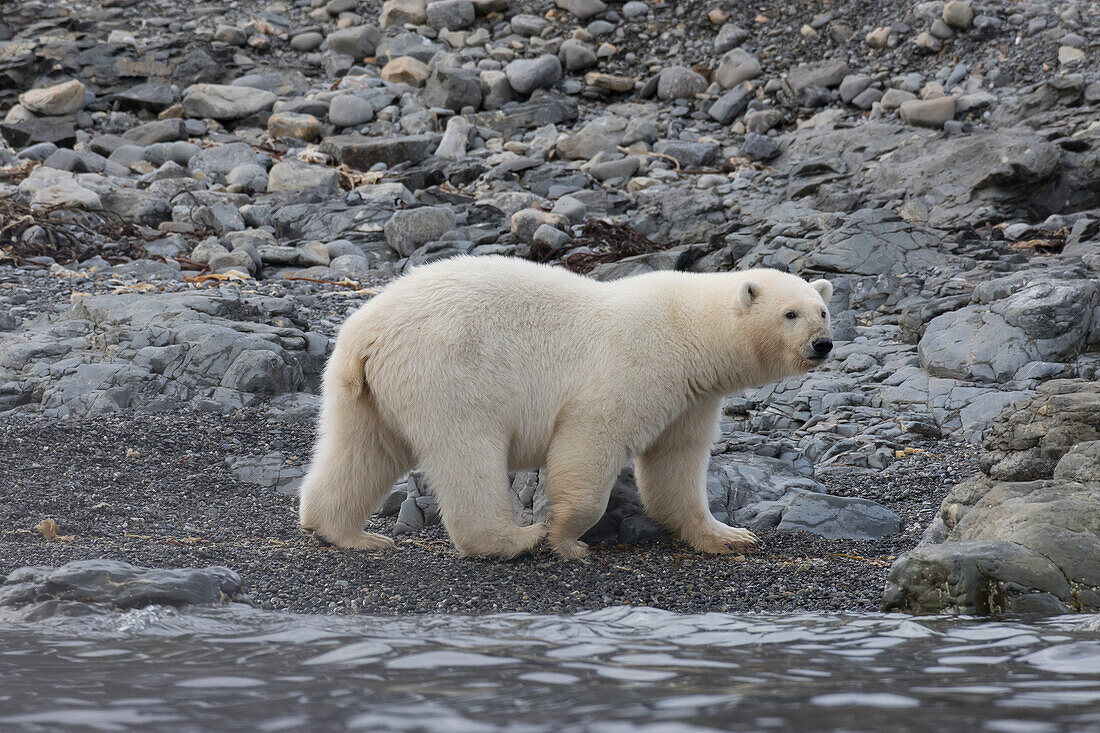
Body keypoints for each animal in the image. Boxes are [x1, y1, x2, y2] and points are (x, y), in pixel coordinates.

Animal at [297, 254, 827, 556]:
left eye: (823, 310)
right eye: (790, 314)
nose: (823, 344)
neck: (689, 332)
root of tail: (366, 332)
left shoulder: (691, 397)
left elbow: (676, 462)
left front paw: (729, 536)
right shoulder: (635, 366)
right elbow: (591, 441)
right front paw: (566, 538)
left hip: (364, 391)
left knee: (361, 449)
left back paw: (347, 532)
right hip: (448, 371)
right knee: (467, 452)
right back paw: (513, 540)